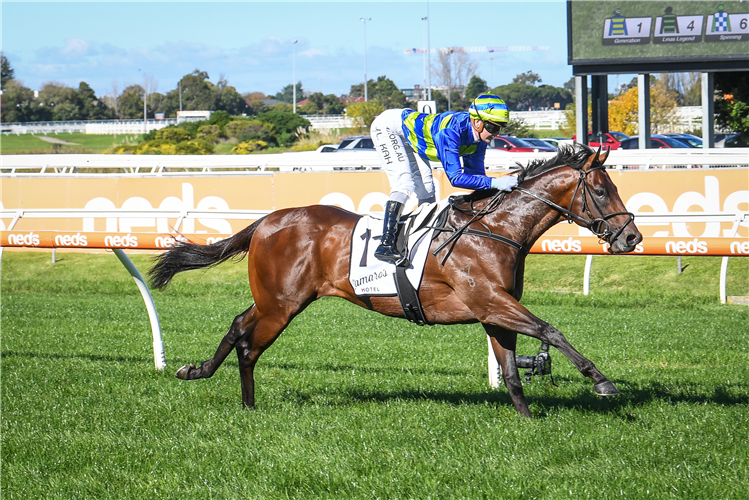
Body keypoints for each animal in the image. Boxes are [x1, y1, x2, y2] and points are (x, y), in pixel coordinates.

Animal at [149, 146, 640, 418]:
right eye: (601, 190)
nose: (632, 237)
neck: (493, 229)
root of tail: (266, 221)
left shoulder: (494, 310)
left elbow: (511, 371)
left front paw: (527, 420)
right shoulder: (490, 301)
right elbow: (550, 330)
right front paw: (601, 381)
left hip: (277, 299)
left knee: (237, 325)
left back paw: (203, 375)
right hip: (281, 304)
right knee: (250, 344)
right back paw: (243, 400)